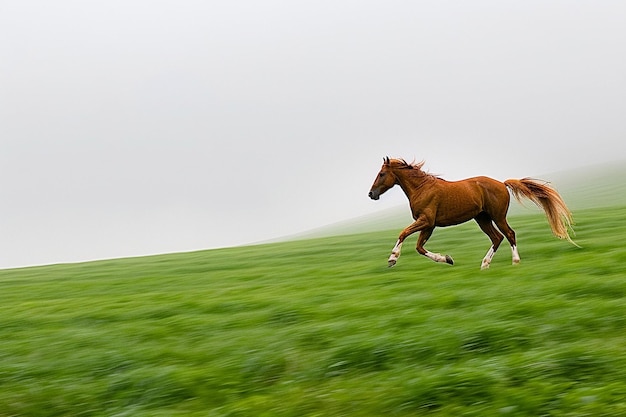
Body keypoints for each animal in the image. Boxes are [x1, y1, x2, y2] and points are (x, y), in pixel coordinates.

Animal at [366, 157, 576, 270]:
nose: (371, 194)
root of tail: (502, 183)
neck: (421, 188)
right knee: (497, 238)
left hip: (498, 216)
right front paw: (447, 259)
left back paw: (515, 261)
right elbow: (419, 247)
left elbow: (403, 234)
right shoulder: (429, 225)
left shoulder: (426, 221)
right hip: (482, 218)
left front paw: (392, 259)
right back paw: (484, 264)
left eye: (382, 174)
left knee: (509, 234)